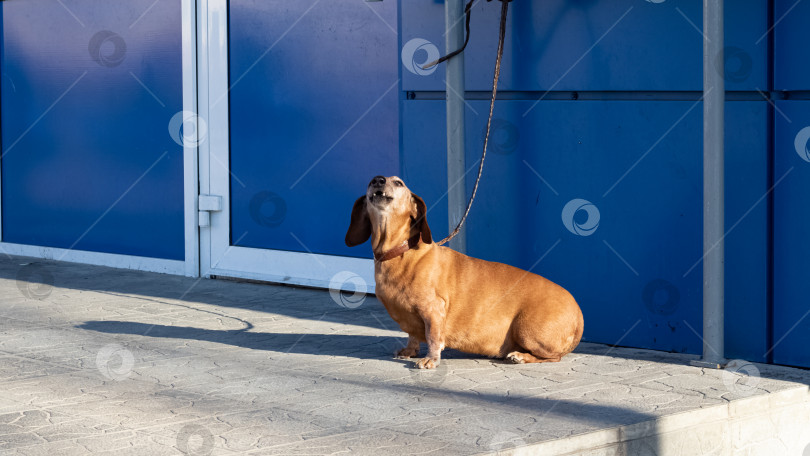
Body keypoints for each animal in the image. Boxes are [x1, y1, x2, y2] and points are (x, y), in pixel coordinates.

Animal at [344, 176, 584, 368]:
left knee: (554, 357)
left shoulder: (433, 310)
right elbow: (412, 335)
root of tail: (578, 312)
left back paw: (521, 356)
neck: (401, 253)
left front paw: (431, 359)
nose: (377, 180)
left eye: (399, 183)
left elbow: (433, 337)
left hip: (526, 329)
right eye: (371, 182)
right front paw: (410, 351)